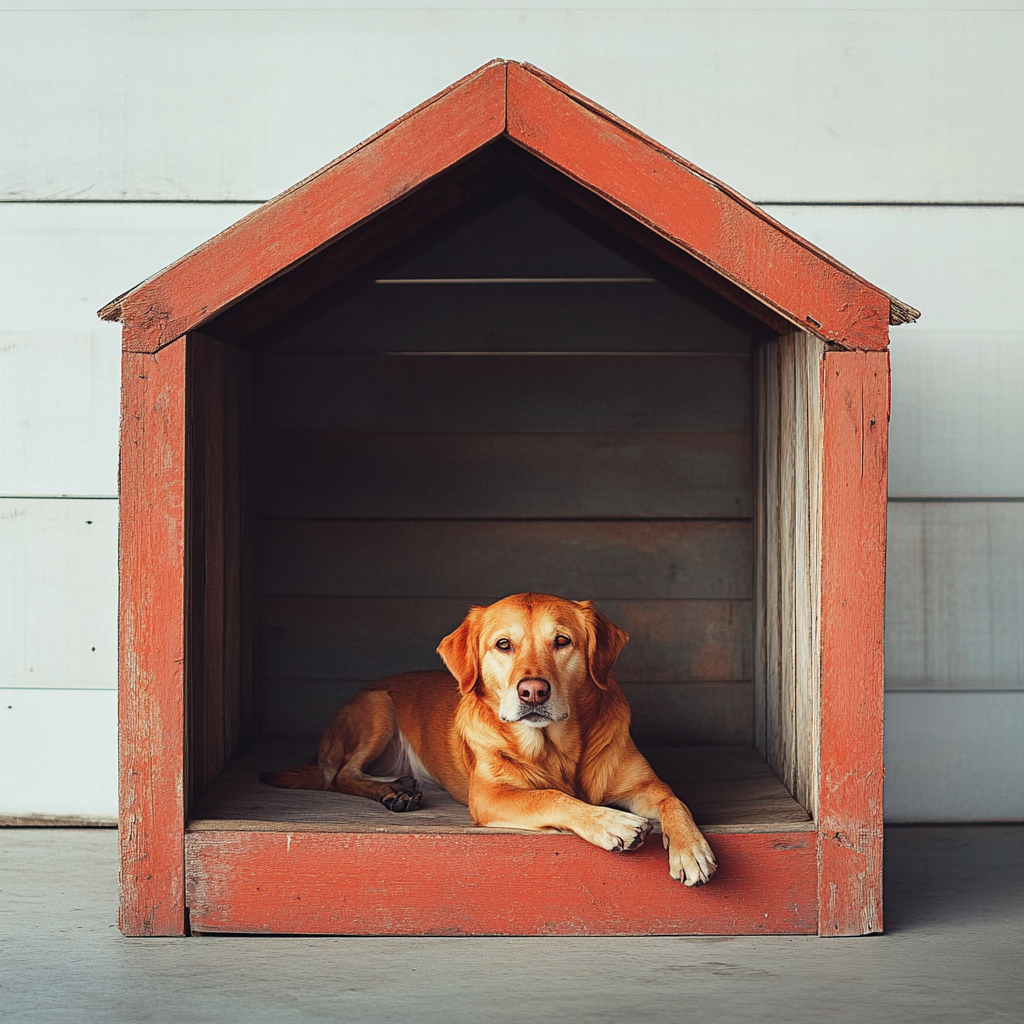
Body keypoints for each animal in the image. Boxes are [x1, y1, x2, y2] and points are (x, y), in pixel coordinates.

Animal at [260, 593, 716, 888]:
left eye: (562, 641)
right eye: (503, 644)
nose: (533, 691)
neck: (556, 748)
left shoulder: (645, 784)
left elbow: (674, 800)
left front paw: (691, 848)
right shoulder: (491, 796)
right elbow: (551, 797)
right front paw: (610, 822)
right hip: (376, 706)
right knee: (340, 775)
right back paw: (393, 792)